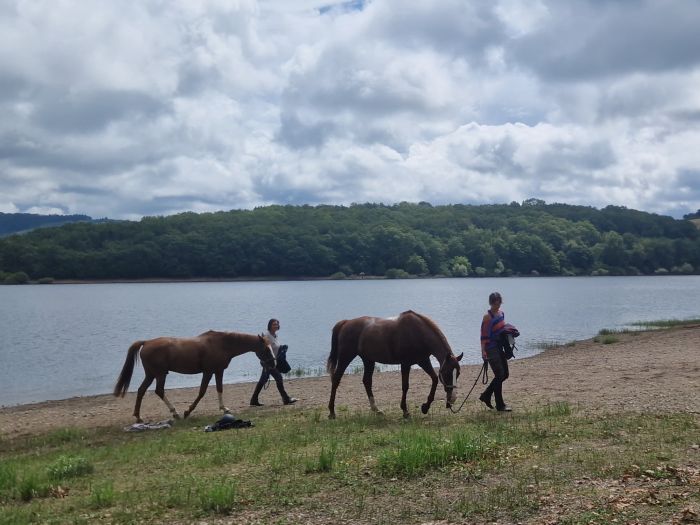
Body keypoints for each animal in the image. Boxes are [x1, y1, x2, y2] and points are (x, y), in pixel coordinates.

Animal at [113, 332, 274, 422]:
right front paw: (187, 411)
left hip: (152, 375)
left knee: (141, 390)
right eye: (266, 349)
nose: (273, 363)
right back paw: (175, 413)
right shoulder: (208, 372)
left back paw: (139, 416)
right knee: (158, 391)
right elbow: (202, 392)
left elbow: (220, 389)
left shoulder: (218, 371)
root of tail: (146, 342)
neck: (222, 344)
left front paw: (224, 409)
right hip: (159, 374)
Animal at [330, 310, 464, 420]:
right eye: (447, 373)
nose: (452, 398)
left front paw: (425, 407)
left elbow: (435, 379)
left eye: (458, 373)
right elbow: (405, 386)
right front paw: (405, 411)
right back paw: (331, 412)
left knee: (367, 381)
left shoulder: (423, 361)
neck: (418, 333)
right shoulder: (405, 364)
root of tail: (346, 323)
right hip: (345, 357)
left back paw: (376, 410)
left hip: (368, 360)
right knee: (336, 379)